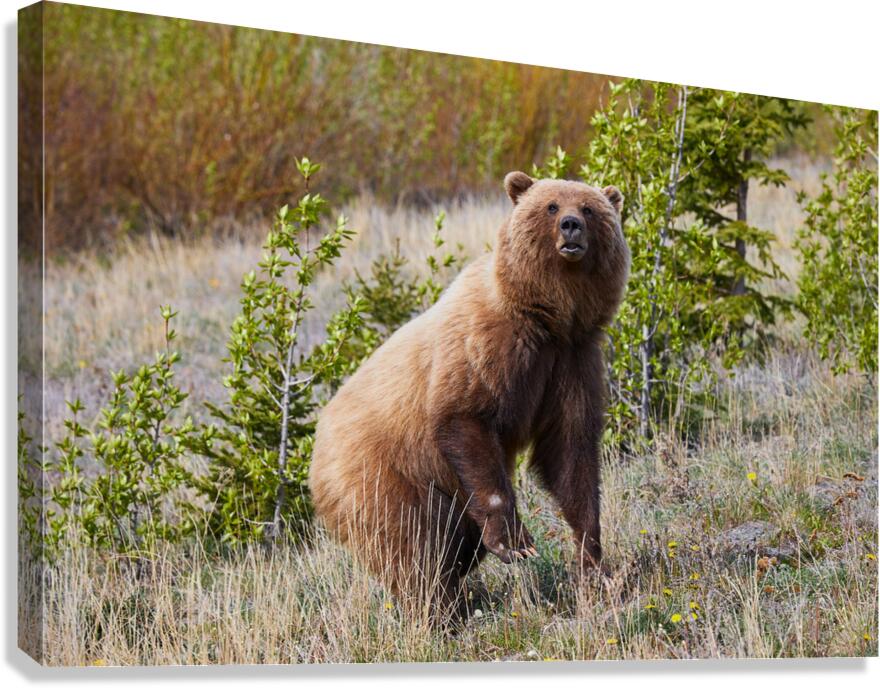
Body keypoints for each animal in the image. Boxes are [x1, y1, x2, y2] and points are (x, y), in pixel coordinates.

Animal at [309, 171, 630, 617]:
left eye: (589, 208)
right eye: (551, 206)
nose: (571, 226)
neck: (547, 318)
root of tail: (316, 444)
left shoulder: (572, 361)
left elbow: (570, 450)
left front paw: (592, 559)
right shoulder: (488, 344)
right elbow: (464, 415)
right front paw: (516, 542)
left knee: (458, 542)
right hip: (382, 472)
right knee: (413, 543)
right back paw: (438, 609)